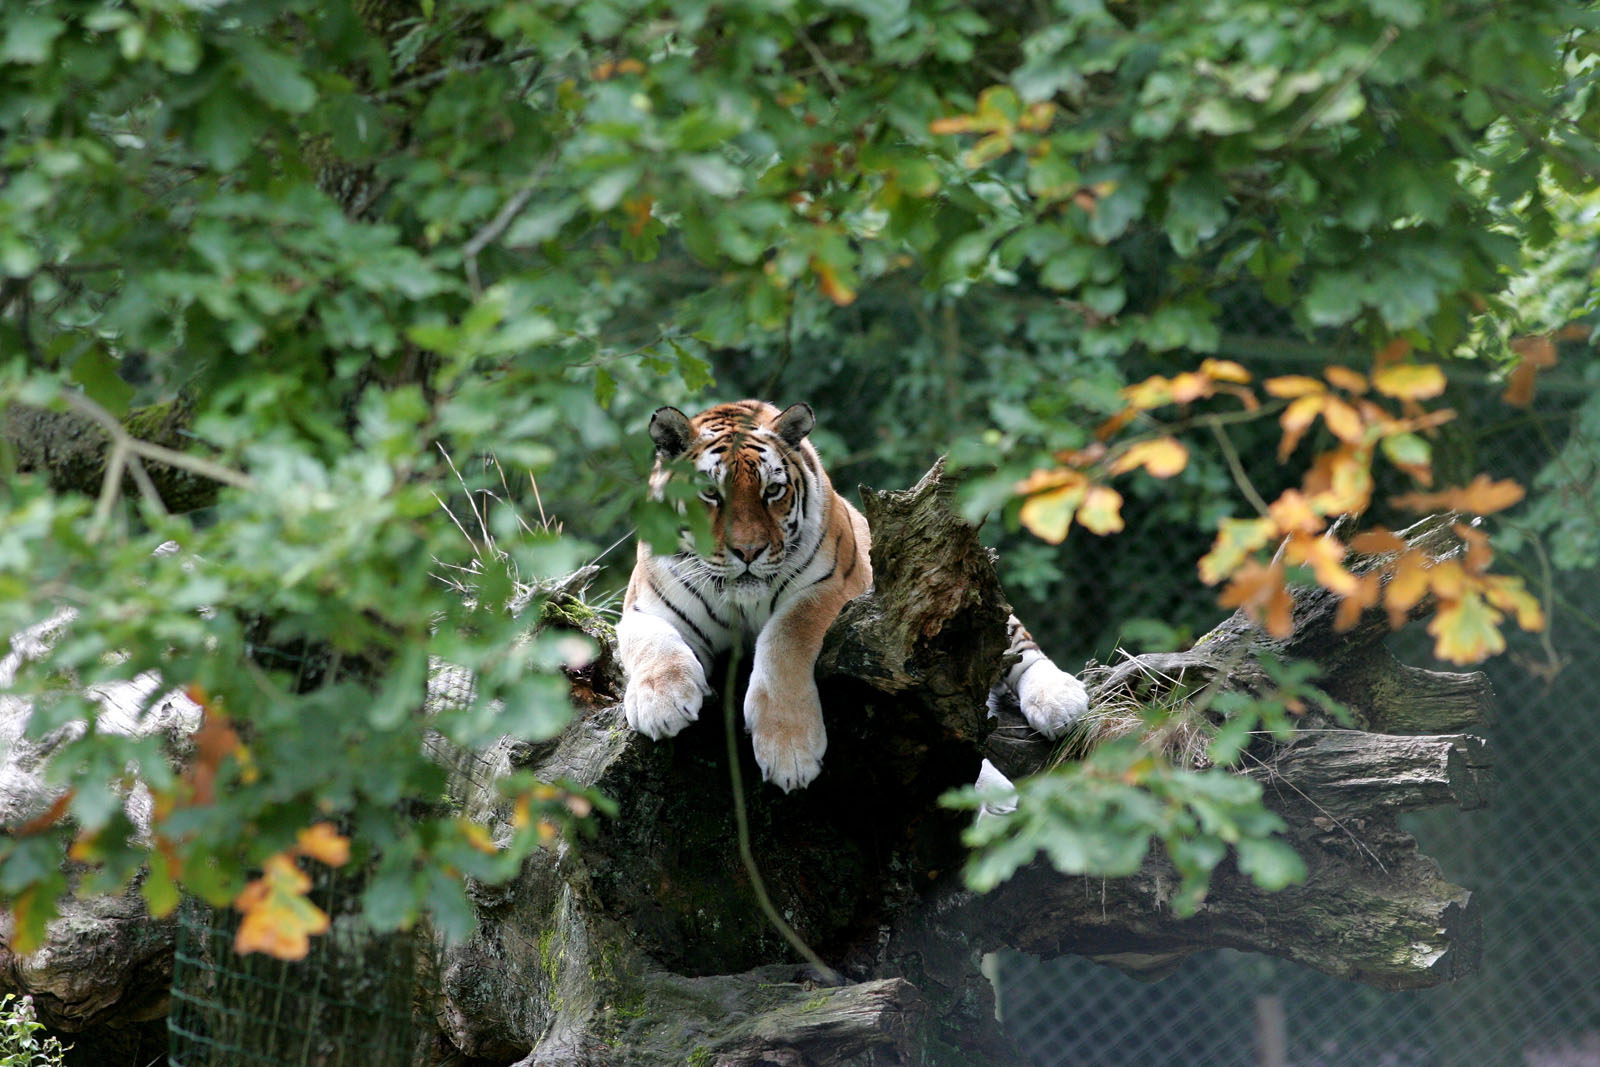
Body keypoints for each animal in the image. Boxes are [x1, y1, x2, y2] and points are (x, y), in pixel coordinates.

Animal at [611, 399, 1088, 793]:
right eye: (710, 493)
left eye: (772, 491)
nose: (748, 551)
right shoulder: (641, 606)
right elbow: (652, 644)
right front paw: (660, 704)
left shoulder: (835, 590)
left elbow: (784, 639)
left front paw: (790, 752)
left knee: (1023, 653)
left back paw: (1061, 702)